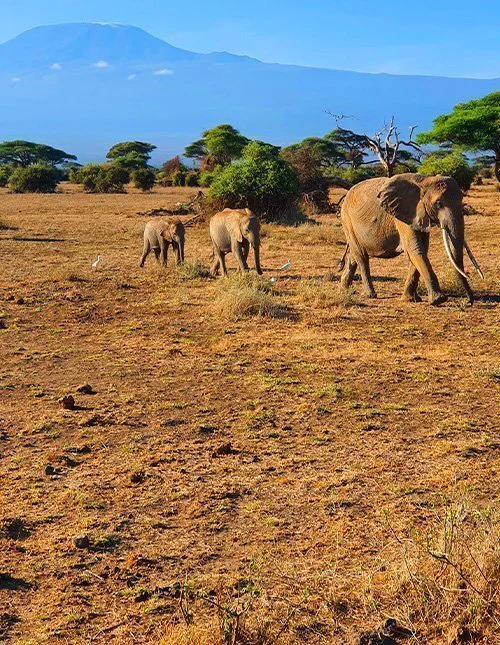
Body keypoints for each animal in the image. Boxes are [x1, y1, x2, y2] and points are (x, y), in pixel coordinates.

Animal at [338, 173, 484, 305]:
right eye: (439, 204)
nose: (468, 302)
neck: (424, 182)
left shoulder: (419, 215)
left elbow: (421, 249)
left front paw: (410, 299)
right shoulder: (403, 215)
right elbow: (414, 249)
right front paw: (438, 300)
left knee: (354, 255)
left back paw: (345, 289)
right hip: (347, 219)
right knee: (361, 256)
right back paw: (370, 295)